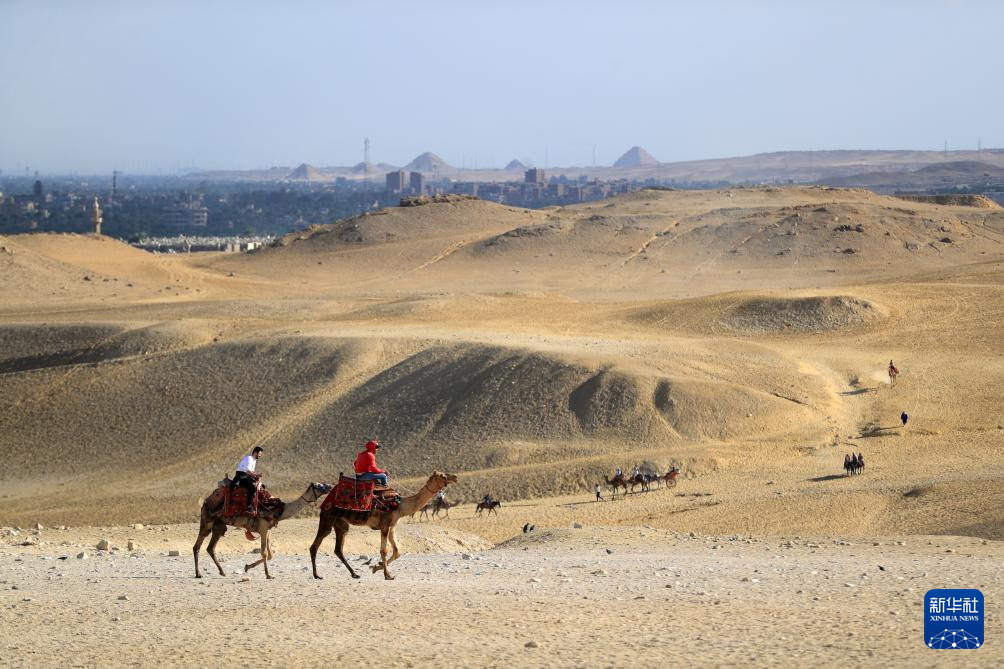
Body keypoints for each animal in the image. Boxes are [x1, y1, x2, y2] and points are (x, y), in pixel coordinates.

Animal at [193, 481, 331, 579]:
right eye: (319, 485)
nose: (329, 486)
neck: (278, 510)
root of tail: (206, 501)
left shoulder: (268, 530)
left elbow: (270, 555)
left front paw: (247, 567)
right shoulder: (263, 528)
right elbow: (264, 553)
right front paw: (268, 575)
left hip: (219, 525)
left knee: (210, 548)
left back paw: (221, 572)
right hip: (207, 521)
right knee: (198, 546)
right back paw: (199, 574)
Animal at [309, 471, 457, 581]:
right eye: (443, 475)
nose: (455, 477)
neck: (401, 505)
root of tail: (326, 500)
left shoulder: (392, 526)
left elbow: (397, 551)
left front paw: (376, 567)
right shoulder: (385, 525)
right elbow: (384, 550)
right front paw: (387, 575)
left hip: (341, 523)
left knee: (338, 549)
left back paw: (354, 574)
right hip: (328, 516)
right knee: (316, 544)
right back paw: (317, 575)